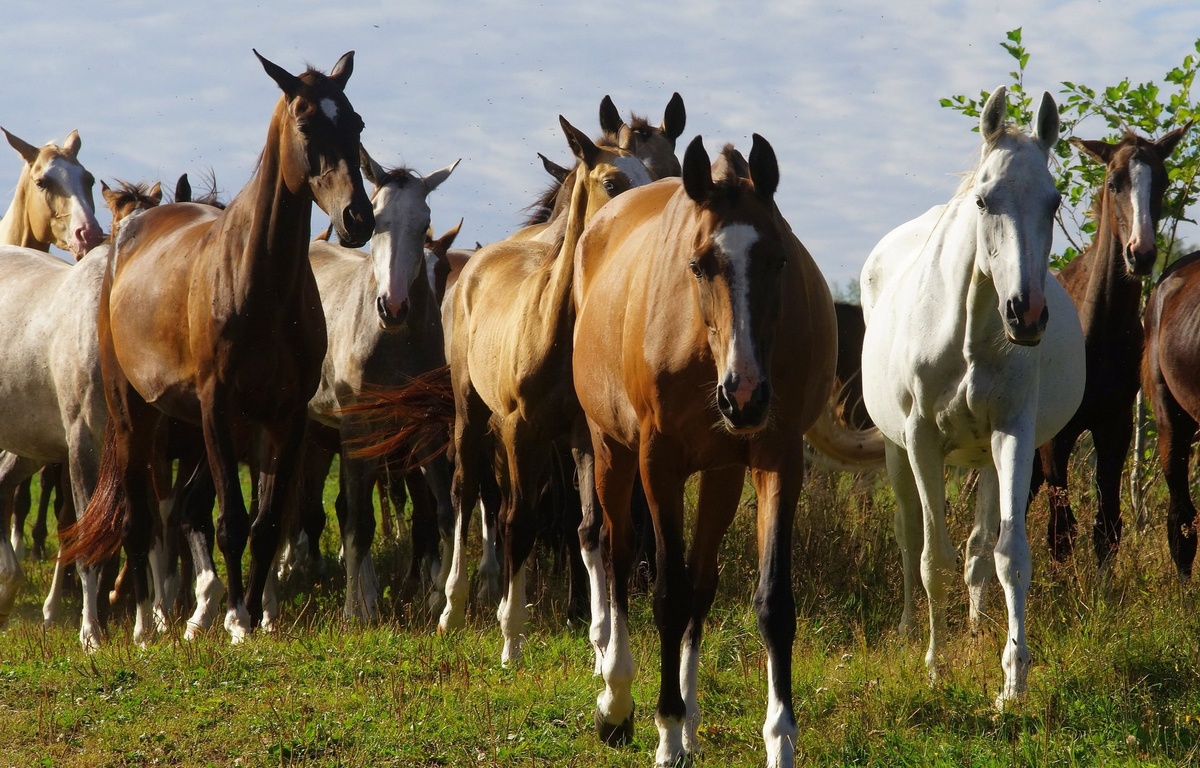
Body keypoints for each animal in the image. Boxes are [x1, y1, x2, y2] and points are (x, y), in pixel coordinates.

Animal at [859, 87, 1084, 705]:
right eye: (984, 201)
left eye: (1054, 201)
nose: (1026, 314)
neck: (968, 332)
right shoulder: (920, 442)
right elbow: (932, 554)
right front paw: (935, 666)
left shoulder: (1014, 434)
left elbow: (1009, 555)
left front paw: (1013, 680)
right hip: (895, 450)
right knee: (909, 536)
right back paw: (911, 629)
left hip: (985, 455)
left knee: (980, 550)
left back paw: (980, 629)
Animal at [1032, 124, 1190, 571]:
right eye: (1113, 182)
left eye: (1163, 182)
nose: (1141, 253)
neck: (1095, 334)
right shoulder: (1056, 435)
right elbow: (1061, 531)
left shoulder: (1113, 428)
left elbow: (1107, 528)